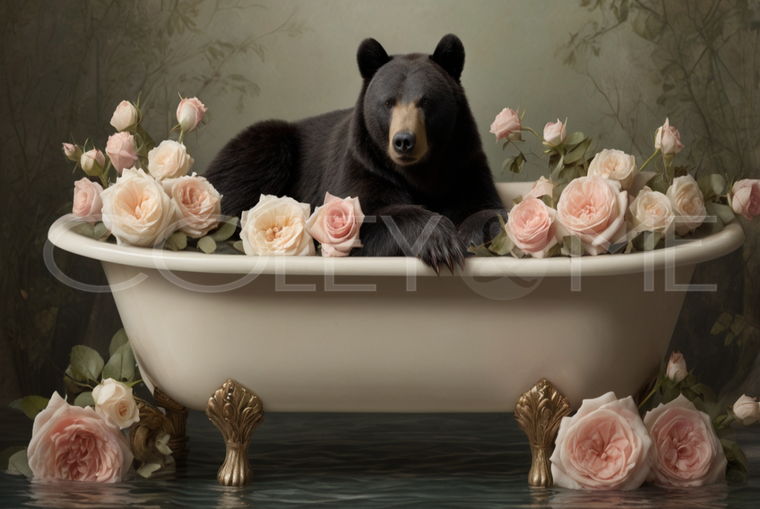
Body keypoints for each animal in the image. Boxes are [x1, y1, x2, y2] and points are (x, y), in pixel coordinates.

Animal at [205, 34, 506, 272]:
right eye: (388, 103)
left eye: (426, 102)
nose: (403, 141)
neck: (418, 170)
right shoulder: (364, 165)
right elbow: (363, 219)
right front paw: (440, 241)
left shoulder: (463, 162)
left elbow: (486, 206)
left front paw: (470, 235)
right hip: (264, 146)